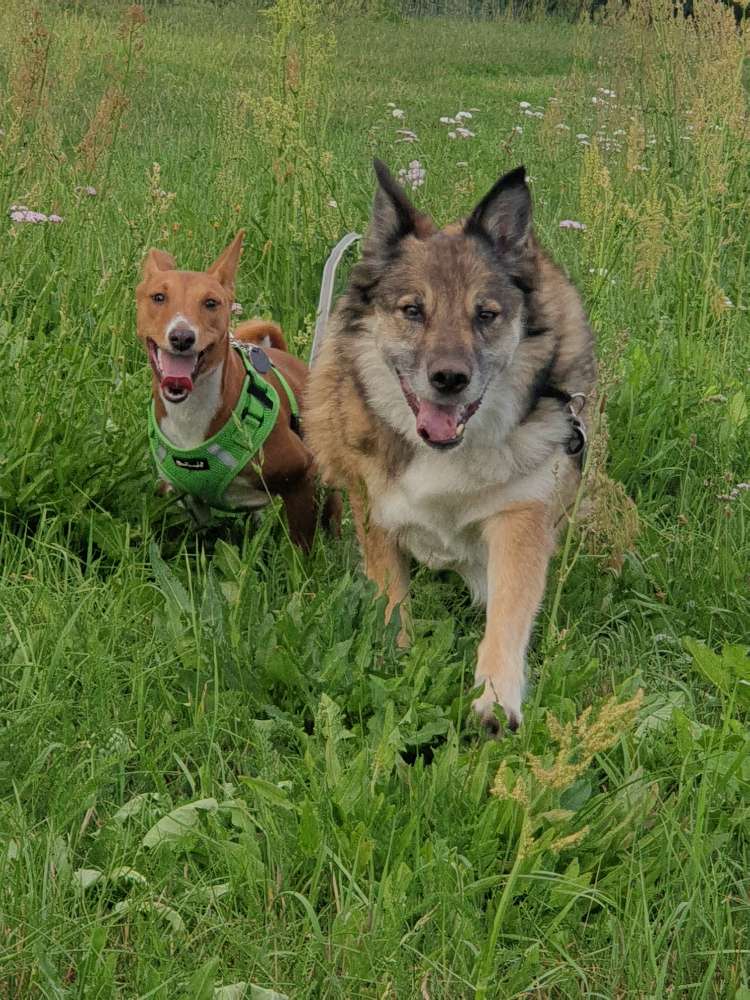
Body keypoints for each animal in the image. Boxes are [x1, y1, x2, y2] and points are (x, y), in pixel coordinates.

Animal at [136, 231, 338, 552]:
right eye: (158, 297)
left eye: (211, 302)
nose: (182, 337)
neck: (191, 415)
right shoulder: (187, 498)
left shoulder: (301, 474)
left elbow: (301, 548)